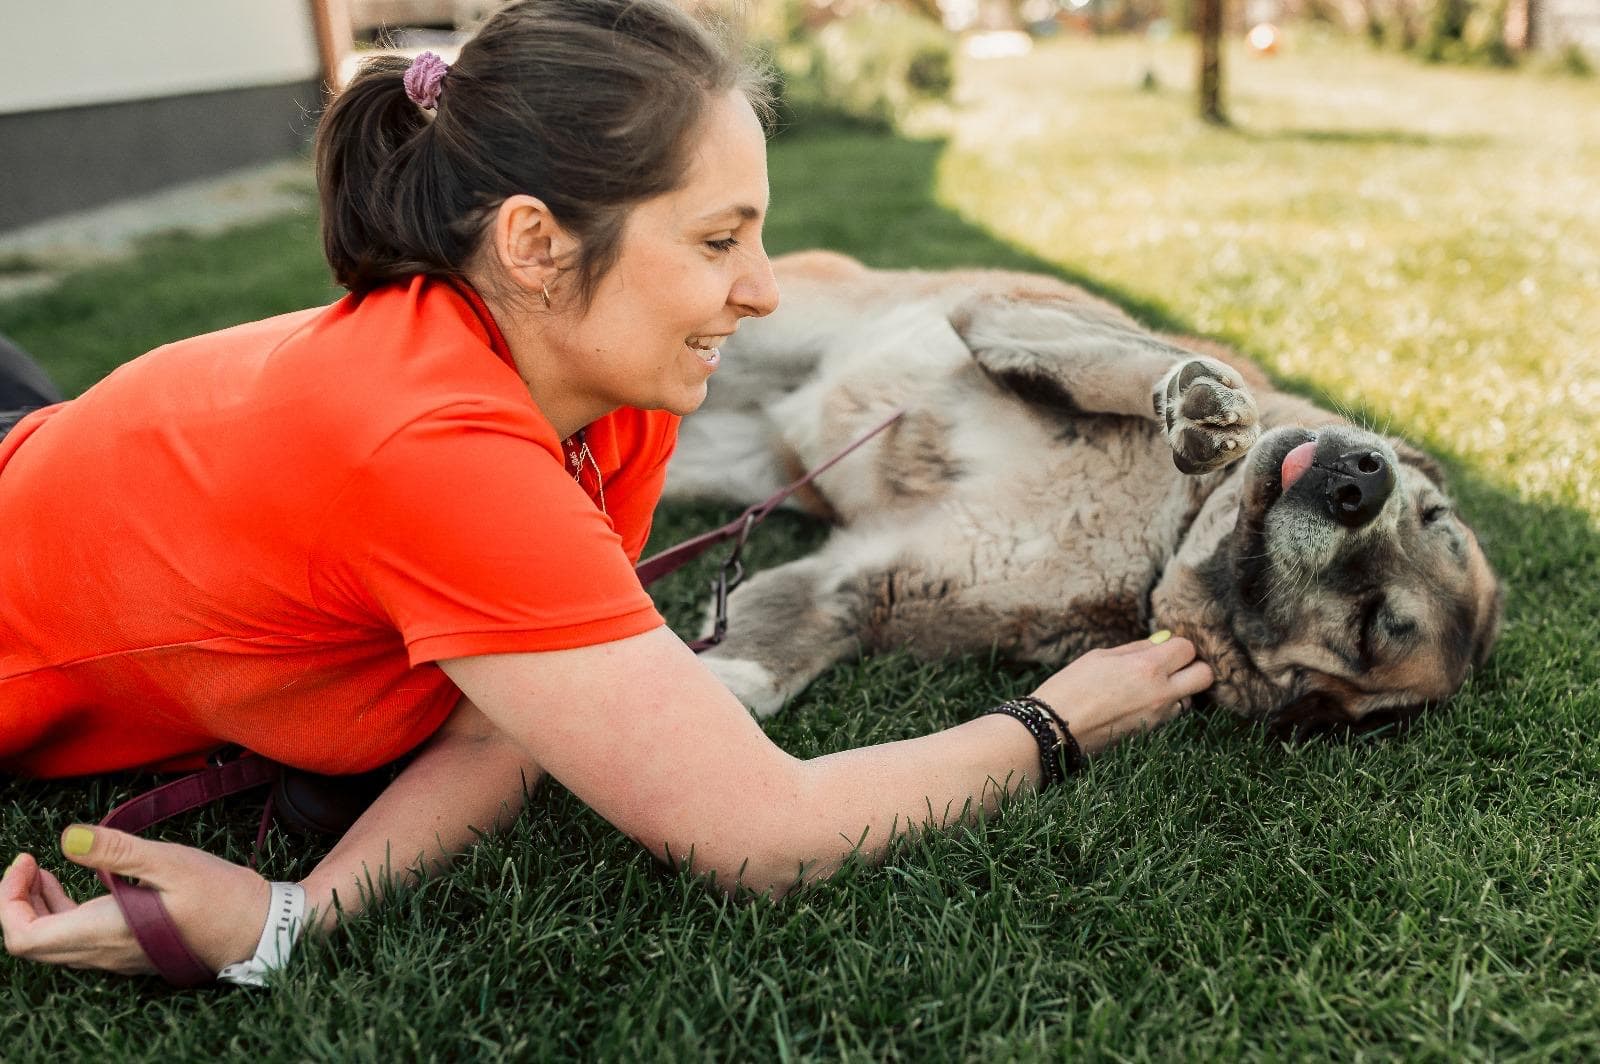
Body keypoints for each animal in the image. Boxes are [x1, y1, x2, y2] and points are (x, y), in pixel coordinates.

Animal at [662, 249, 1497, 736]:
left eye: (1373, 627)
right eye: (1432, 512)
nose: (1363, 479)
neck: (1167, 534)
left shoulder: (866, 577)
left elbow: (754, 672)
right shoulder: (1011, 317)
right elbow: (1130, 367)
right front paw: (1198, 404)